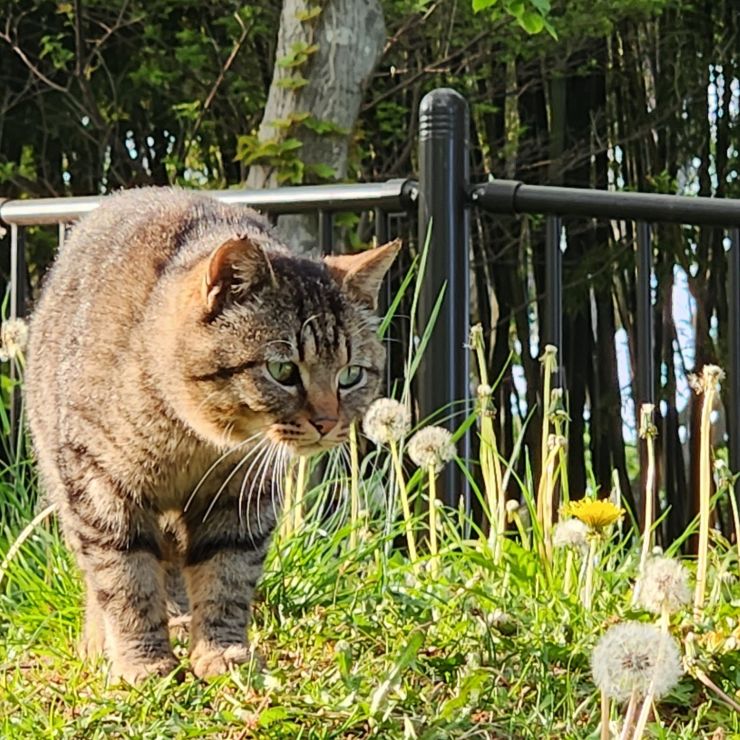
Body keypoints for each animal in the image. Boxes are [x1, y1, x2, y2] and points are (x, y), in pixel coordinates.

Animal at [26, 189, 398, 684]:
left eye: (351, 375)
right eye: (282, 370)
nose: (326, 421)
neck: (193, 444)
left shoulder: (240, 498)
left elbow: (226, 576)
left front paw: (221, 651)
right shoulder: (100, 487)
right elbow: (125, 580)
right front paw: (142, 659)